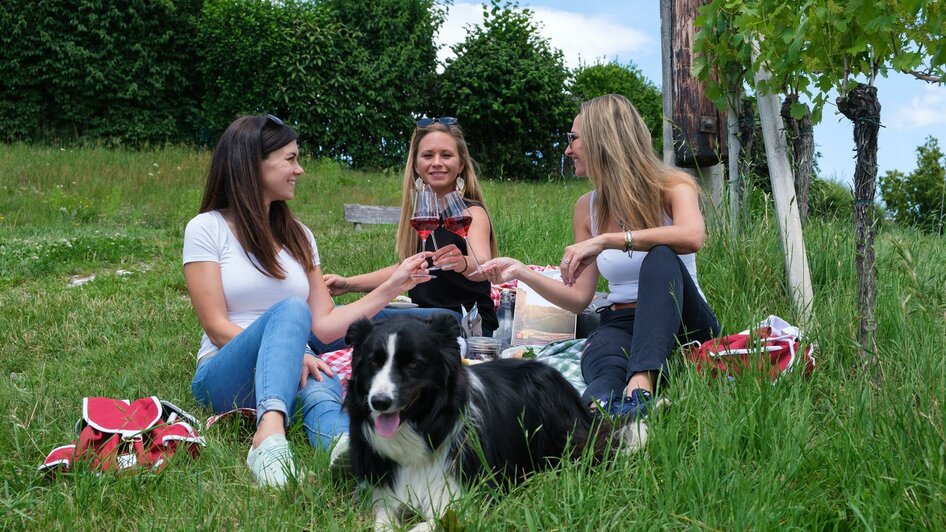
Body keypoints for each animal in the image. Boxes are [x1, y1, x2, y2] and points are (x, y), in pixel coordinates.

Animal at [342, 316, 636, 528]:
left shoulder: (465, 497)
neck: (425, 427)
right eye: (373, 362)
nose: (379, 402)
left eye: (413, 363)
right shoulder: (386, 494)